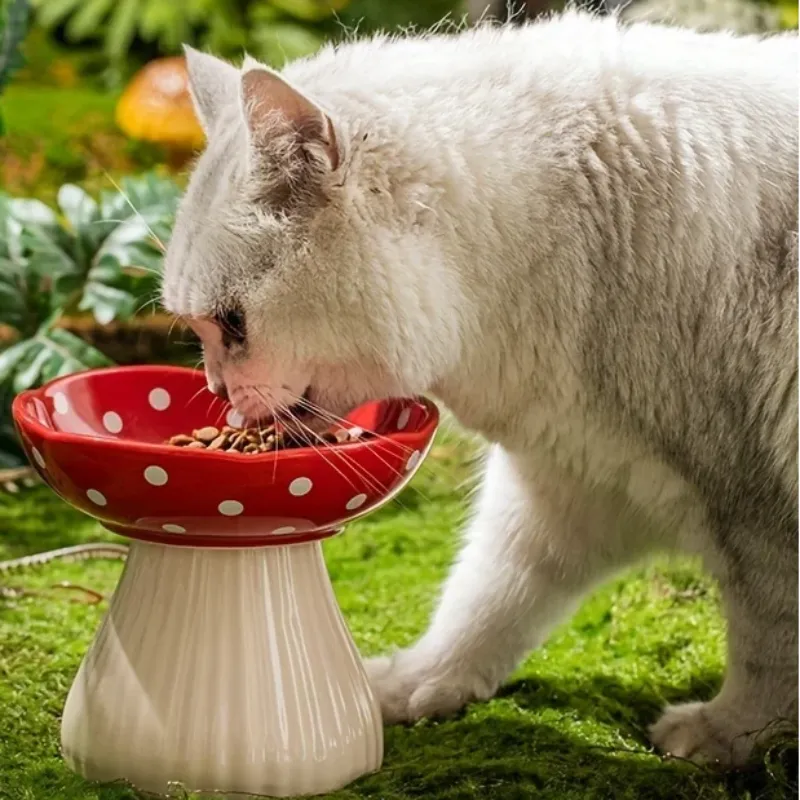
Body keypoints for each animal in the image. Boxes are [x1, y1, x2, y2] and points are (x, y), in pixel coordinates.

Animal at [159, 9, 796, 764]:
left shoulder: (755, 513)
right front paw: (416, 685)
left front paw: (730, 736)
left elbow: (766, 651)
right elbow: (488, 600)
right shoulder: (563, 484)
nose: (219, 395)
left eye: (232, 324)